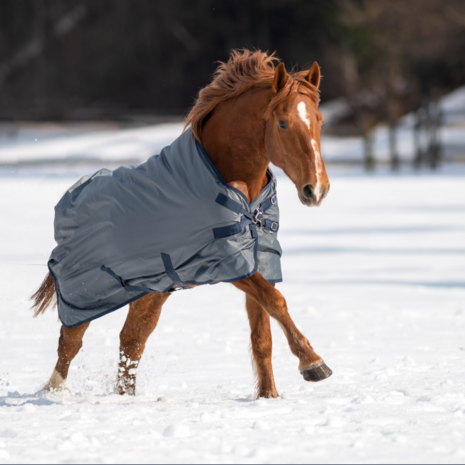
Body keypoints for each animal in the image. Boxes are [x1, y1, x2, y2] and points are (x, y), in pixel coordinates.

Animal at [31, 50, 330, 398]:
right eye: (283, 123)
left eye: (320, 121)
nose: (316, 189)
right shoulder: (225, 261)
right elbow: (276, 301)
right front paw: (313, 364)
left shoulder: (258, 259)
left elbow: (262, 333)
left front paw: (269, 396)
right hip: (86, 293)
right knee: (71, 341)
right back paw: (54, 393)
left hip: (150, 291)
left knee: (131, 340)